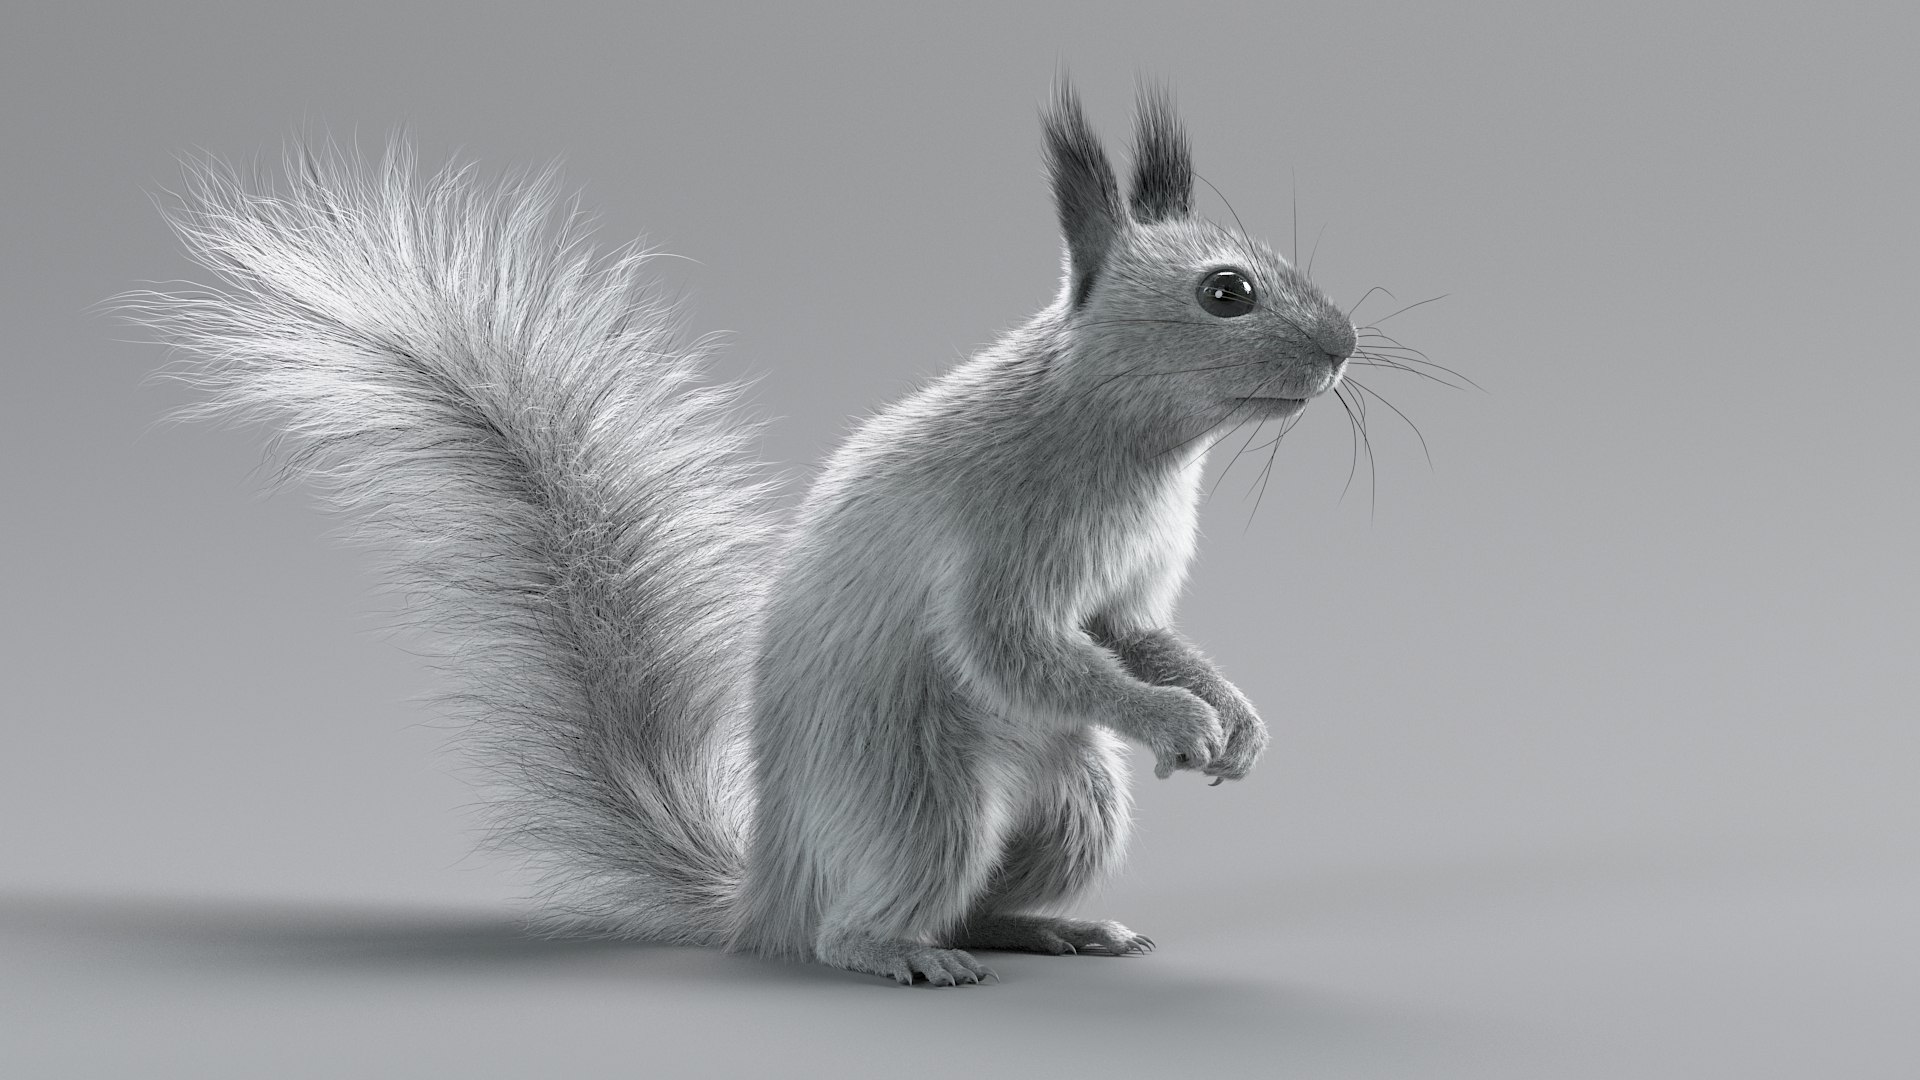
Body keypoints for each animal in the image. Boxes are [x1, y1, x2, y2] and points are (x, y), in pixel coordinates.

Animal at [128, 83, 1362, 986]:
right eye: (1226, 292)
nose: (1346, 345)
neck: (1130, 448)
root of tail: (769, 892)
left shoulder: (1128, 587)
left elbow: (1139, 636)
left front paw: (1233, 713)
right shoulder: (996, 541)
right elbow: (1017, 649)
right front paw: (1176, 719)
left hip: (1075, 806)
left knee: (984, 902)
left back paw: (1053, 930)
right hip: (921, 798)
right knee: (864, 922)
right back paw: (899, 953)